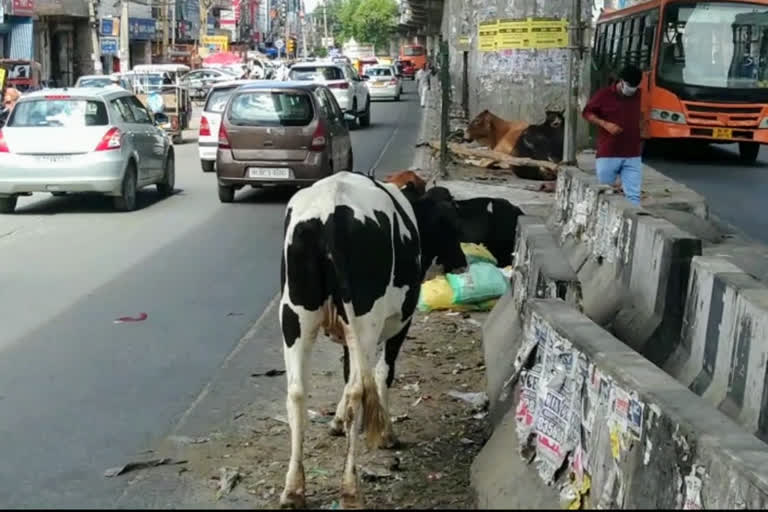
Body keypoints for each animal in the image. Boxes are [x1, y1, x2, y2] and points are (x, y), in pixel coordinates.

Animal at [278, 171, 464, 508]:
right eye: (452, 223)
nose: (462, 261)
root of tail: (331, 207)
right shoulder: (401, 321)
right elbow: (382, 372)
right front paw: (387, 433)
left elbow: (346, 371)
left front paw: (337, 421)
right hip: (365, 320)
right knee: (358, 391)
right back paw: (350, 488)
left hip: (294, 314)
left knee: (297, 392)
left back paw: (293, 488)